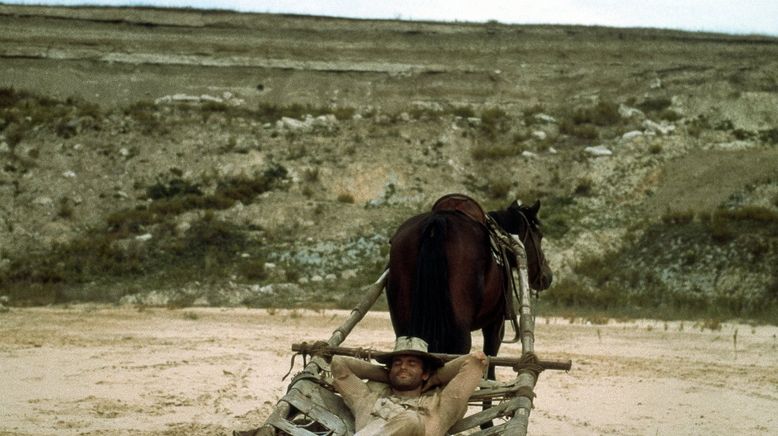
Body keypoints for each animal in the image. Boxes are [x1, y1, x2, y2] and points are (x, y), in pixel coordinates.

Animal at [384, 195, 548, 372]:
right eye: (539, 235)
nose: (547, 276)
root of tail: (437, 221)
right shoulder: (496, 322)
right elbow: (491, 360)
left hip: (403, 321)